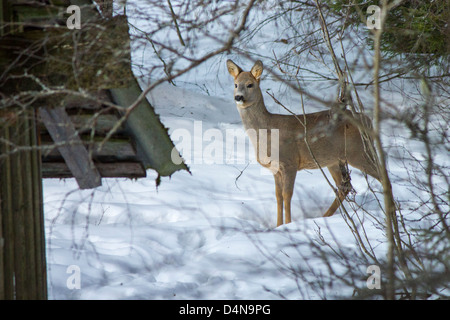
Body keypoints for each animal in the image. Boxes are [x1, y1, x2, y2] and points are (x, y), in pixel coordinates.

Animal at [229, 58, 380, 226]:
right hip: (334, 159)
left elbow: (287, 195)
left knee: (380, 174)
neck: (267, 132)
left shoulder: (290, 162)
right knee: (345, 186)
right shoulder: (275, 168)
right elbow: (278, 196)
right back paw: (325, 216)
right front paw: (278, 225)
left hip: (359, 152)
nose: (238, 97)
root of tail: (368, 120)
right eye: (235, 84)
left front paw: (287, 224)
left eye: (250, 84)